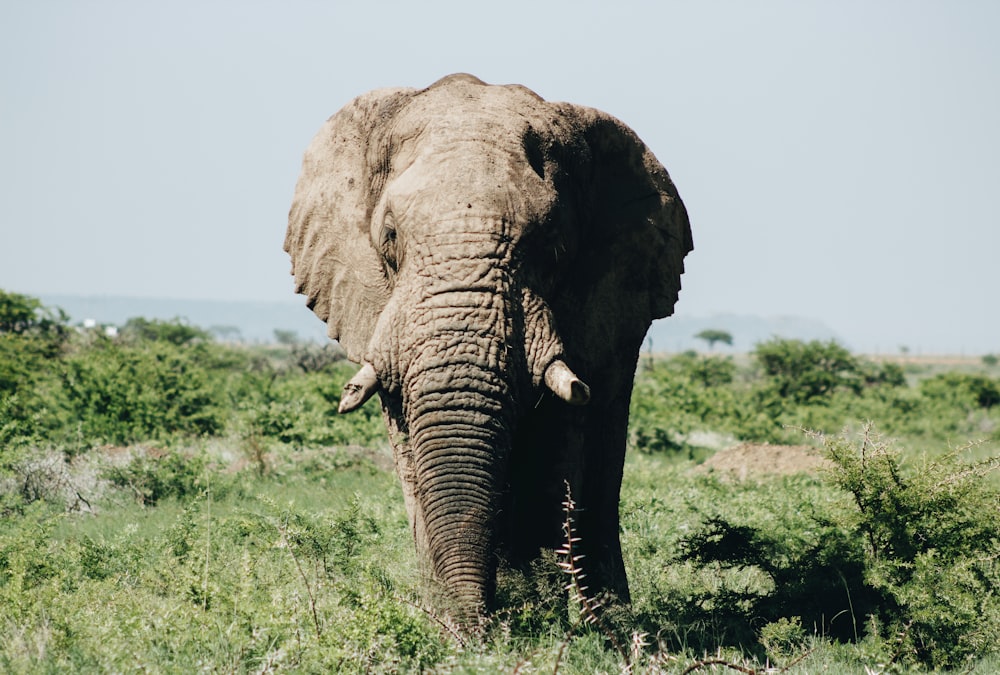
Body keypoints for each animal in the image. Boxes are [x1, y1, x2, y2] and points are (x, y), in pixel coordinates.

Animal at [282, 74, 688, 624]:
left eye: (553, 244)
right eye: (389, 236)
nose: (483, 628)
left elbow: (561, 435)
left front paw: (556, 623)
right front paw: (446, 621)